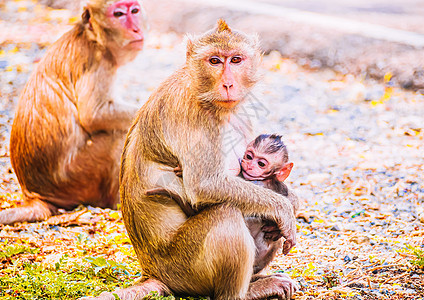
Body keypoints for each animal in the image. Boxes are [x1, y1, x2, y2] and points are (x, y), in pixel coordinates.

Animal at [0, 0, 146, 225]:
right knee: (117, 136)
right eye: (119, 14)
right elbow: (94, 115)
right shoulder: (98, 61)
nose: (136, 29)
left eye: (135, 11)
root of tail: (33, 194)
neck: (92, 37)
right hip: (75, 178)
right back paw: (116, 203)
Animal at [83, 19, 298, 300]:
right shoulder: (195, 117)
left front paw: (291, 201)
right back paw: (246, 292)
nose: (228, 84)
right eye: (215, 61)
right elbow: (204, 185)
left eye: (236, 60)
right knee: (225, 214)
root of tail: (151, 272)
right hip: (185, 270)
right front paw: (285, 208)